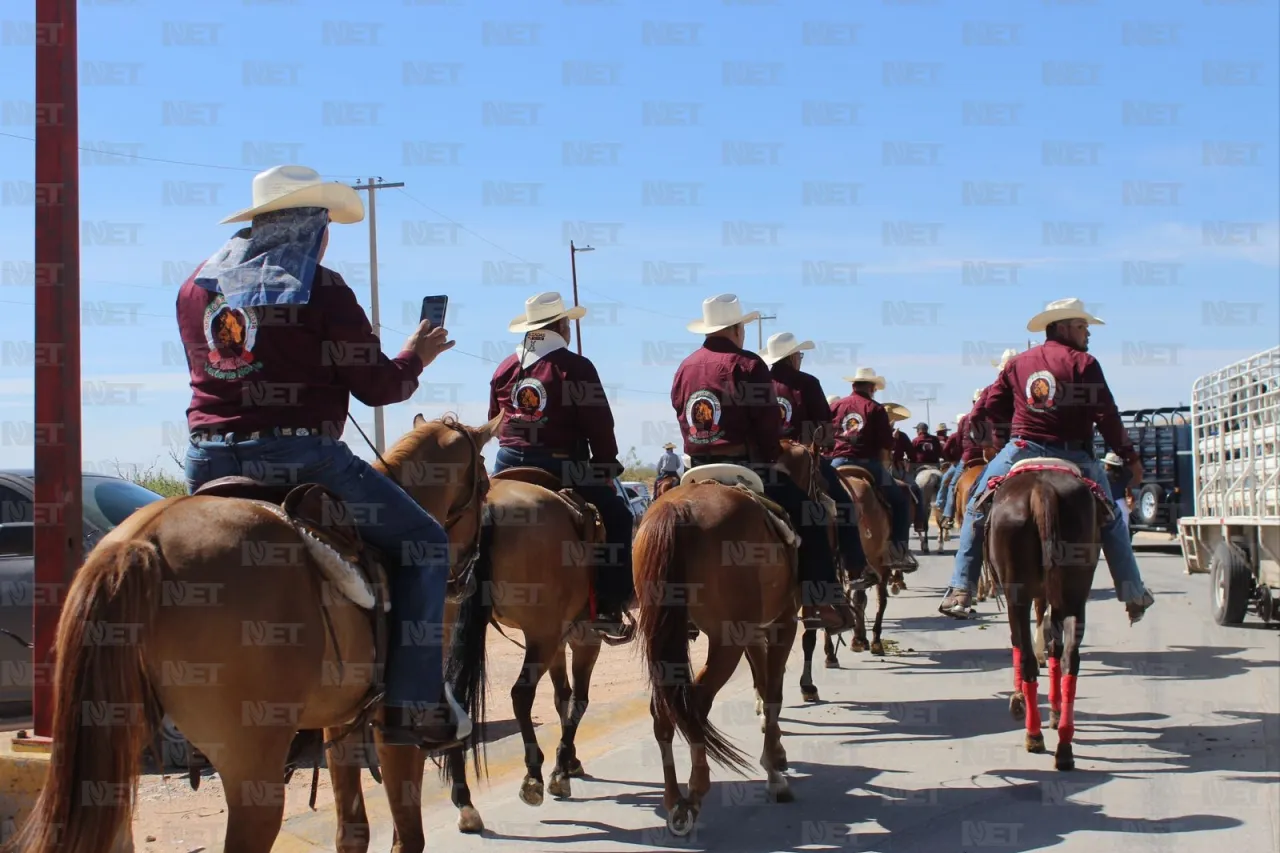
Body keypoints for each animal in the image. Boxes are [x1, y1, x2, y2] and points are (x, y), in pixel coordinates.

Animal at [17, 412, 501, 850]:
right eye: (483, 486)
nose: (468, 576)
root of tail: (141, 542)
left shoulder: (342, 722)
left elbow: (353, 831)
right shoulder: (394, 728)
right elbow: (409, 834)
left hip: (112, 753)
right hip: (252, 767)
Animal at [325, 458, 614, 845]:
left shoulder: (560, 638)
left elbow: (562, 697)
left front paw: (570, 763)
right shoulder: (581, 636)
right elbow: (577, 700)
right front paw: (562, 770)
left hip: (450, 626)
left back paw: (465, 802)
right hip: (541, 633)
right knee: (521, 695)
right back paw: (532, 776)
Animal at [637, 473, 803, 835]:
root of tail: (677, 508)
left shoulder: (755, 632)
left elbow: (763, 685)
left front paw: (775, 758)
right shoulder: (782, 623)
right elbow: (773, 693)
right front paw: (775, 773)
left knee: (664, 711)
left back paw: (675, 801)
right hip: (728, 640)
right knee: (696, 705)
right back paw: (695, 794)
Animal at [977, 458, 1111, 768]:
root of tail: (1043, 490)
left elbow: (1020, 643)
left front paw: (1018, 700)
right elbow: (1052, 645)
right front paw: (1054, 708)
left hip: (1018, 595)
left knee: (1027, 657)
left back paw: (1034, 735)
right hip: (1075, 593)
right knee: (1069, 657)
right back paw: (1064, 745)